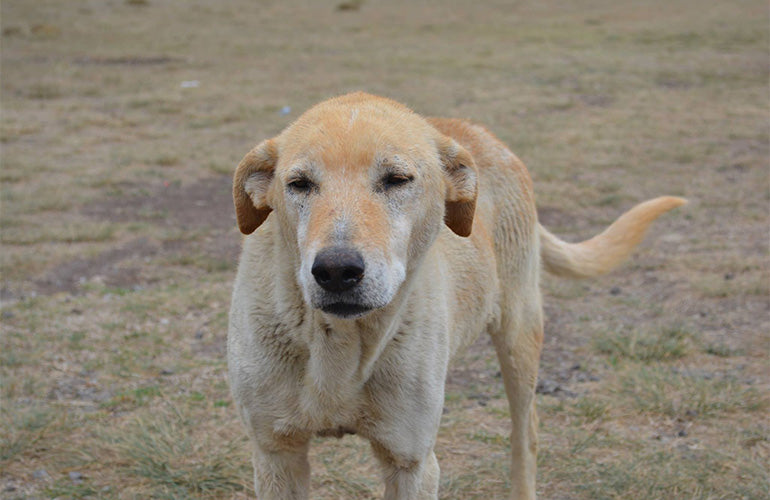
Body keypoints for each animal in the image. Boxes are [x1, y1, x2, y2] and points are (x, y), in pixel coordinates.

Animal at [226, 92, 684, 498]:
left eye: (397, 179)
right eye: (299, 184)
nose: (336, 270)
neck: (340, 344)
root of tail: (476, 133)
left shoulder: (412, 462)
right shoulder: (275, 455)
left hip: (520, 339)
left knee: (526, 436)